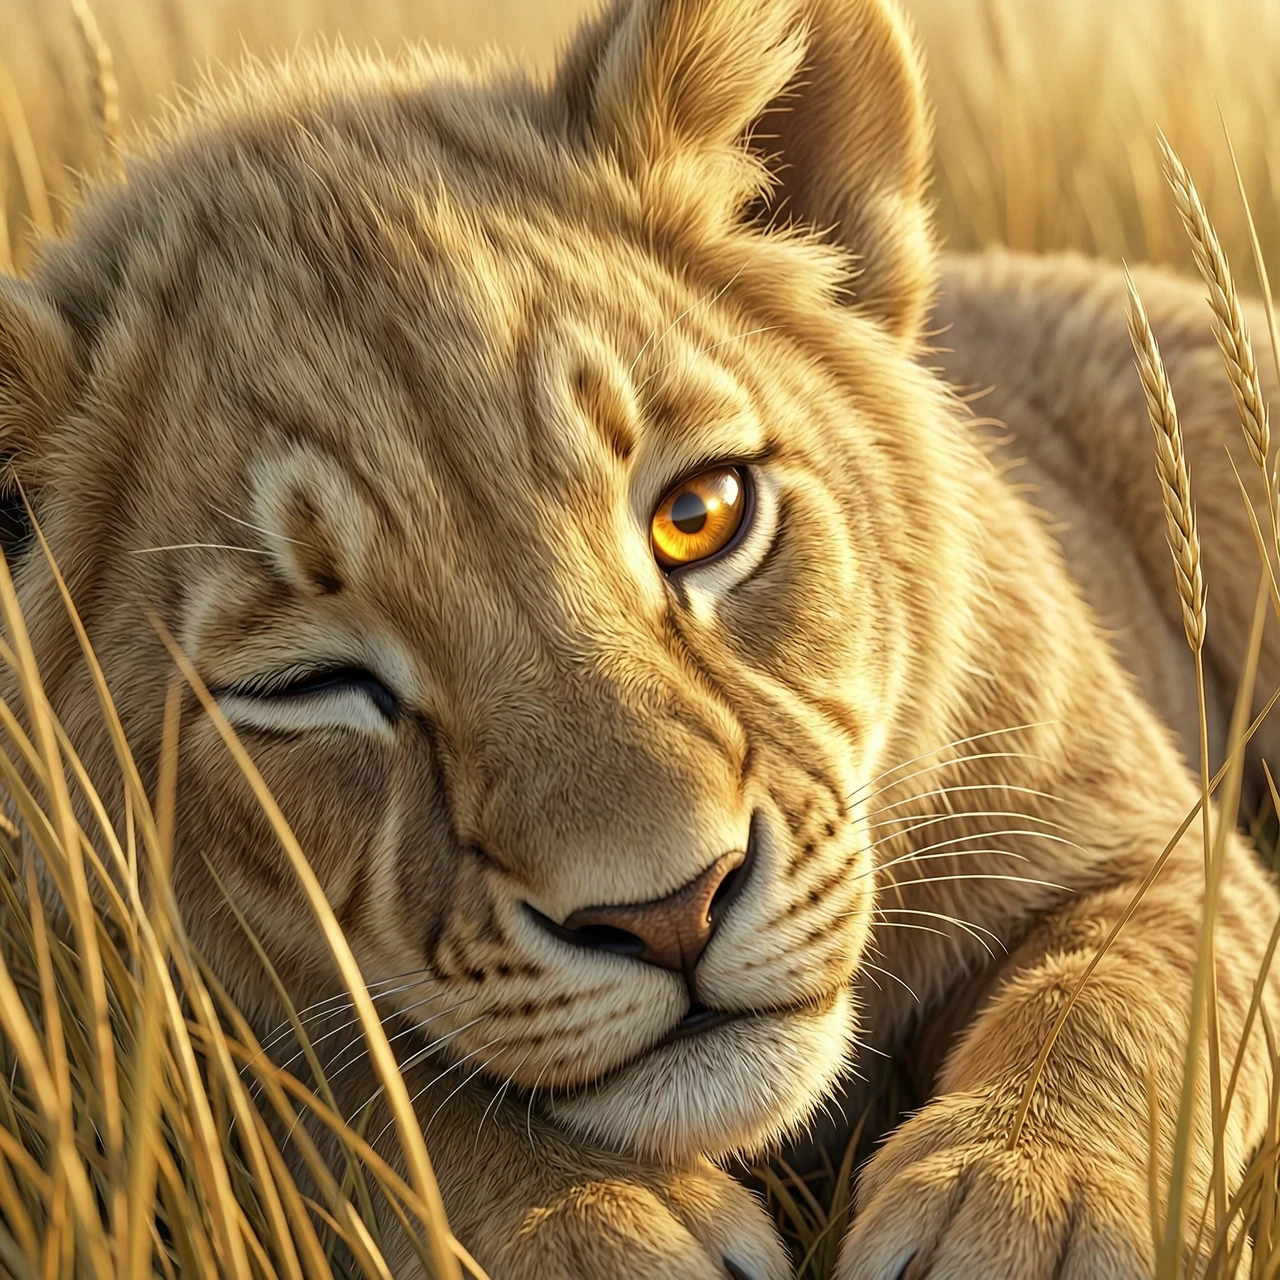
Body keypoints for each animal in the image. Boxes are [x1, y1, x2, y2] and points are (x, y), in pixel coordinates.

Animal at [0, 0, 1278, 1276]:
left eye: (699, 513)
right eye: (311, 682)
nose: (670, 912)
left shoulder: (1148, 838)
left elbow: (1117, 984)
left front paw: (1023, 1200)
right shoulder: (106, 991)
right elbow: (341, 1084)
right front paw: (587, 1215)